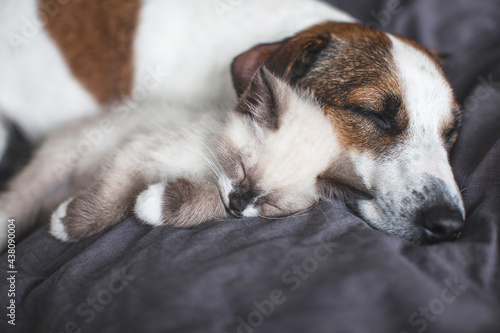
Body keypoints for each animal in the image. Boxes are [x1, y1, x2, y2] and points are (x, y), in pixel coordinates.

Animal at [0, 68, 368, 249]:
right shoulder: (139, 151)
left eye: (271, 205)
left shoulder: (224, 198)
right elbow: (113, 201)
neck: (207, 168)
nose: (238, 206)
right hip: (58, 163)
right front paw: (68, 227)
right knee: (20, 199)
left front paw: (153, 204)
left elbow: (209, 203)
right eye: (242, 169)